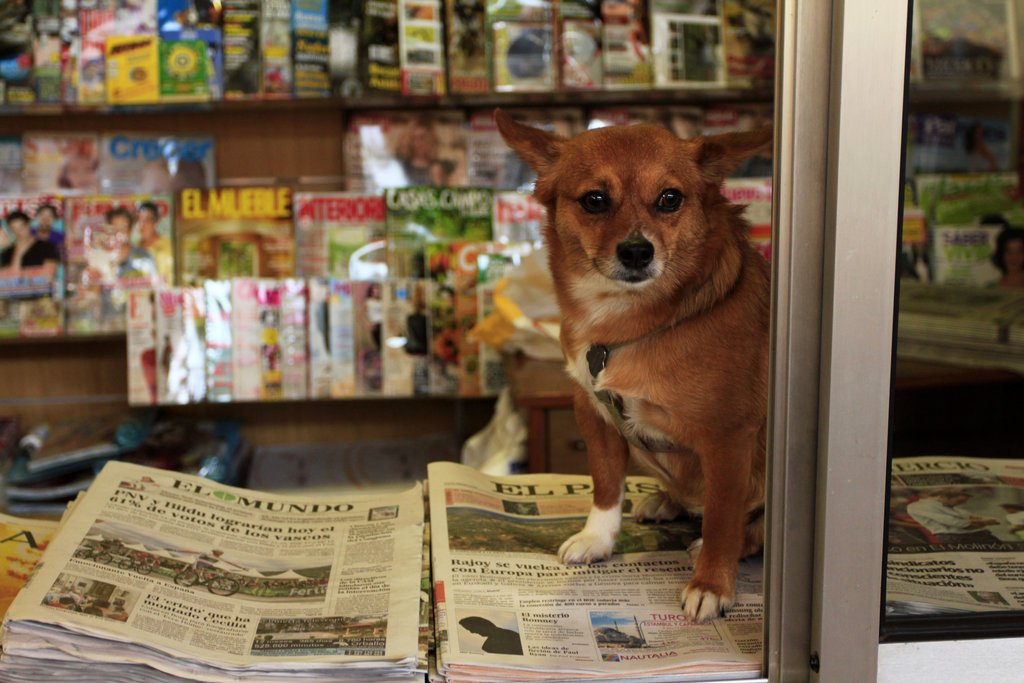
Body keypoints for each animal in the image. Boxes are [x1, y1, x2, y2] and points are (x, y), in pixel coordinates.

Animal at [495, 109, 770, 622]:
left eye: (670, 198)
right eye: (595, 200)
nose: (638, 251)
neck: (628, 323)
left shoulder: (729, 438)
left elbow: (723, 518)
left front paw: (711, 584)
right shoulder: (593, 413)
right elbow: (606, 485)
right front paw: (598, 539)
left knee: (747, 527)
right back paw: (664, 501)